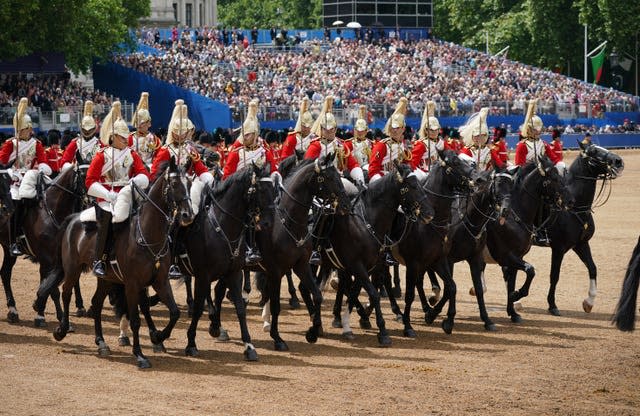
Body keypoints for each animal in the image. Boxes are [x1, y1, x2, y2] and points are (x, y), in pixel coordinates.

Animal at [52, 158, 194, 368]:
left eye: (190, 184)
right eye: (175, 184)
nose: (187, 215)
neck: (148, 236)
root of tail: (74, 218)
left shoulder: (160, 281)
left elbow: (175, 312)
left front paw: (158, 337)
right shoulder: (133, 284)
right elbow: (135, 320)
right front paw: (140, 355)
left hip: (106, 279)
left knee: (96, 302)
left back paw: (101, 343)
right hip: (72, 269)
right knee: (67, 293)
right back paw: (62, 330)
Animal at [184, 164, 276, 360]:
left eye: (273, 189)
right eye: (259, 190)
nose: (268, 223)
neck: (222, 225)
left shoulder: (233, 272)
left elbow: (239, 308)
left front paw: (249, 346)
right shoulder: (203, 274)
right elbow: (199, 306)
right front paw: (191, 343)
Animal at [324, 160, 436, 344]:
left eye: (420, 184)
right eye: (412, 186)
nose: (429, 213)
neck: (366, 221)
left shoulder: (373, 263)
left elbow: (365, 288)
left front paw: (363, 316)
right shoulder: (358, 264)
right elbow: (372, 291)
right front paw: (382, 330)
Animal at [484, 156, 576, 322]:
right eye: (554, 178)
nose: (571, 200)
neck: (514, 218)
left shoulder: (516, 258)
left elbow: (513, 281)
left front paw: (513, 312)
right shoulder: (507, 257)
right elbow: (530, 270)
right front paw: (517, 295)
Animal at [536, 142, 624, 316]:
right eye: (593, 151)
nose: (618, 161)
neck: (575, 208)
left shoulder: (580, 244)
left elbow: (593, 268)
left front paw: (589, 302)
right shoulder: (558, 248)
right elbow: (554, 276)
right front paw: (552, 304)